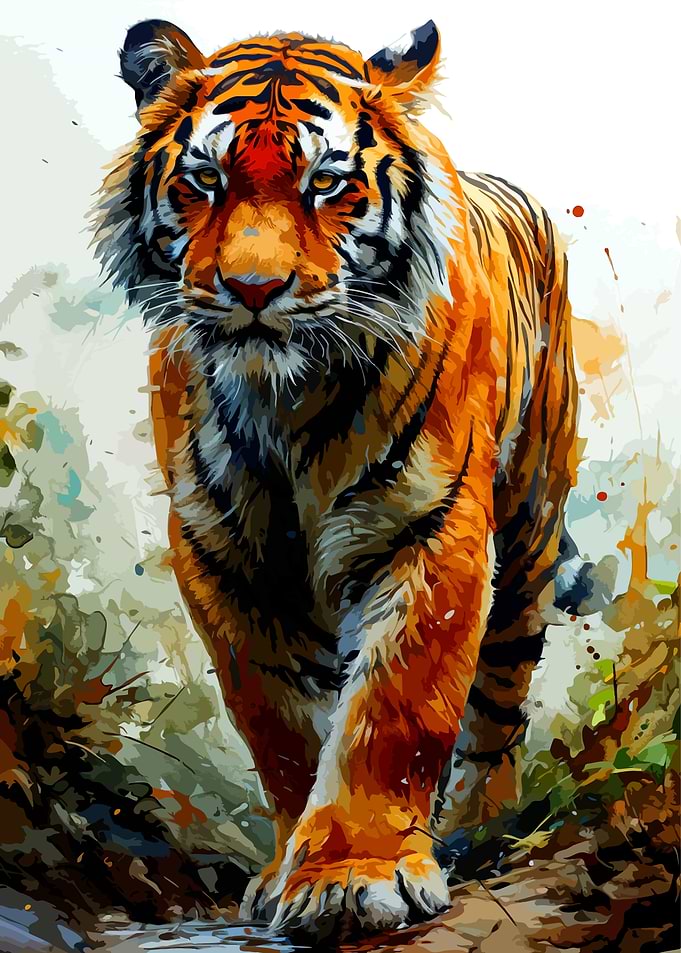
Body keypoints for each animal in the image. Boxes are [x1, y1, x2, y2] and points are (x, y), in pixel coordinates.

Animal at [95, 18, 578, 936]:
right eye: (204, 180)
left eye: (325, 183)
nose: (253, 289)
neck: (283, 402)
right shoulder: (221, 557)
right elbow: (281, 726)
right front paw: (288, 867)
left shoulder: (430, 529)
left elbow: (396, 710)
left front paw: (356, 875)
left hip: (529, 533)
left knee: (498, 708)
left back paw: (482, 829)